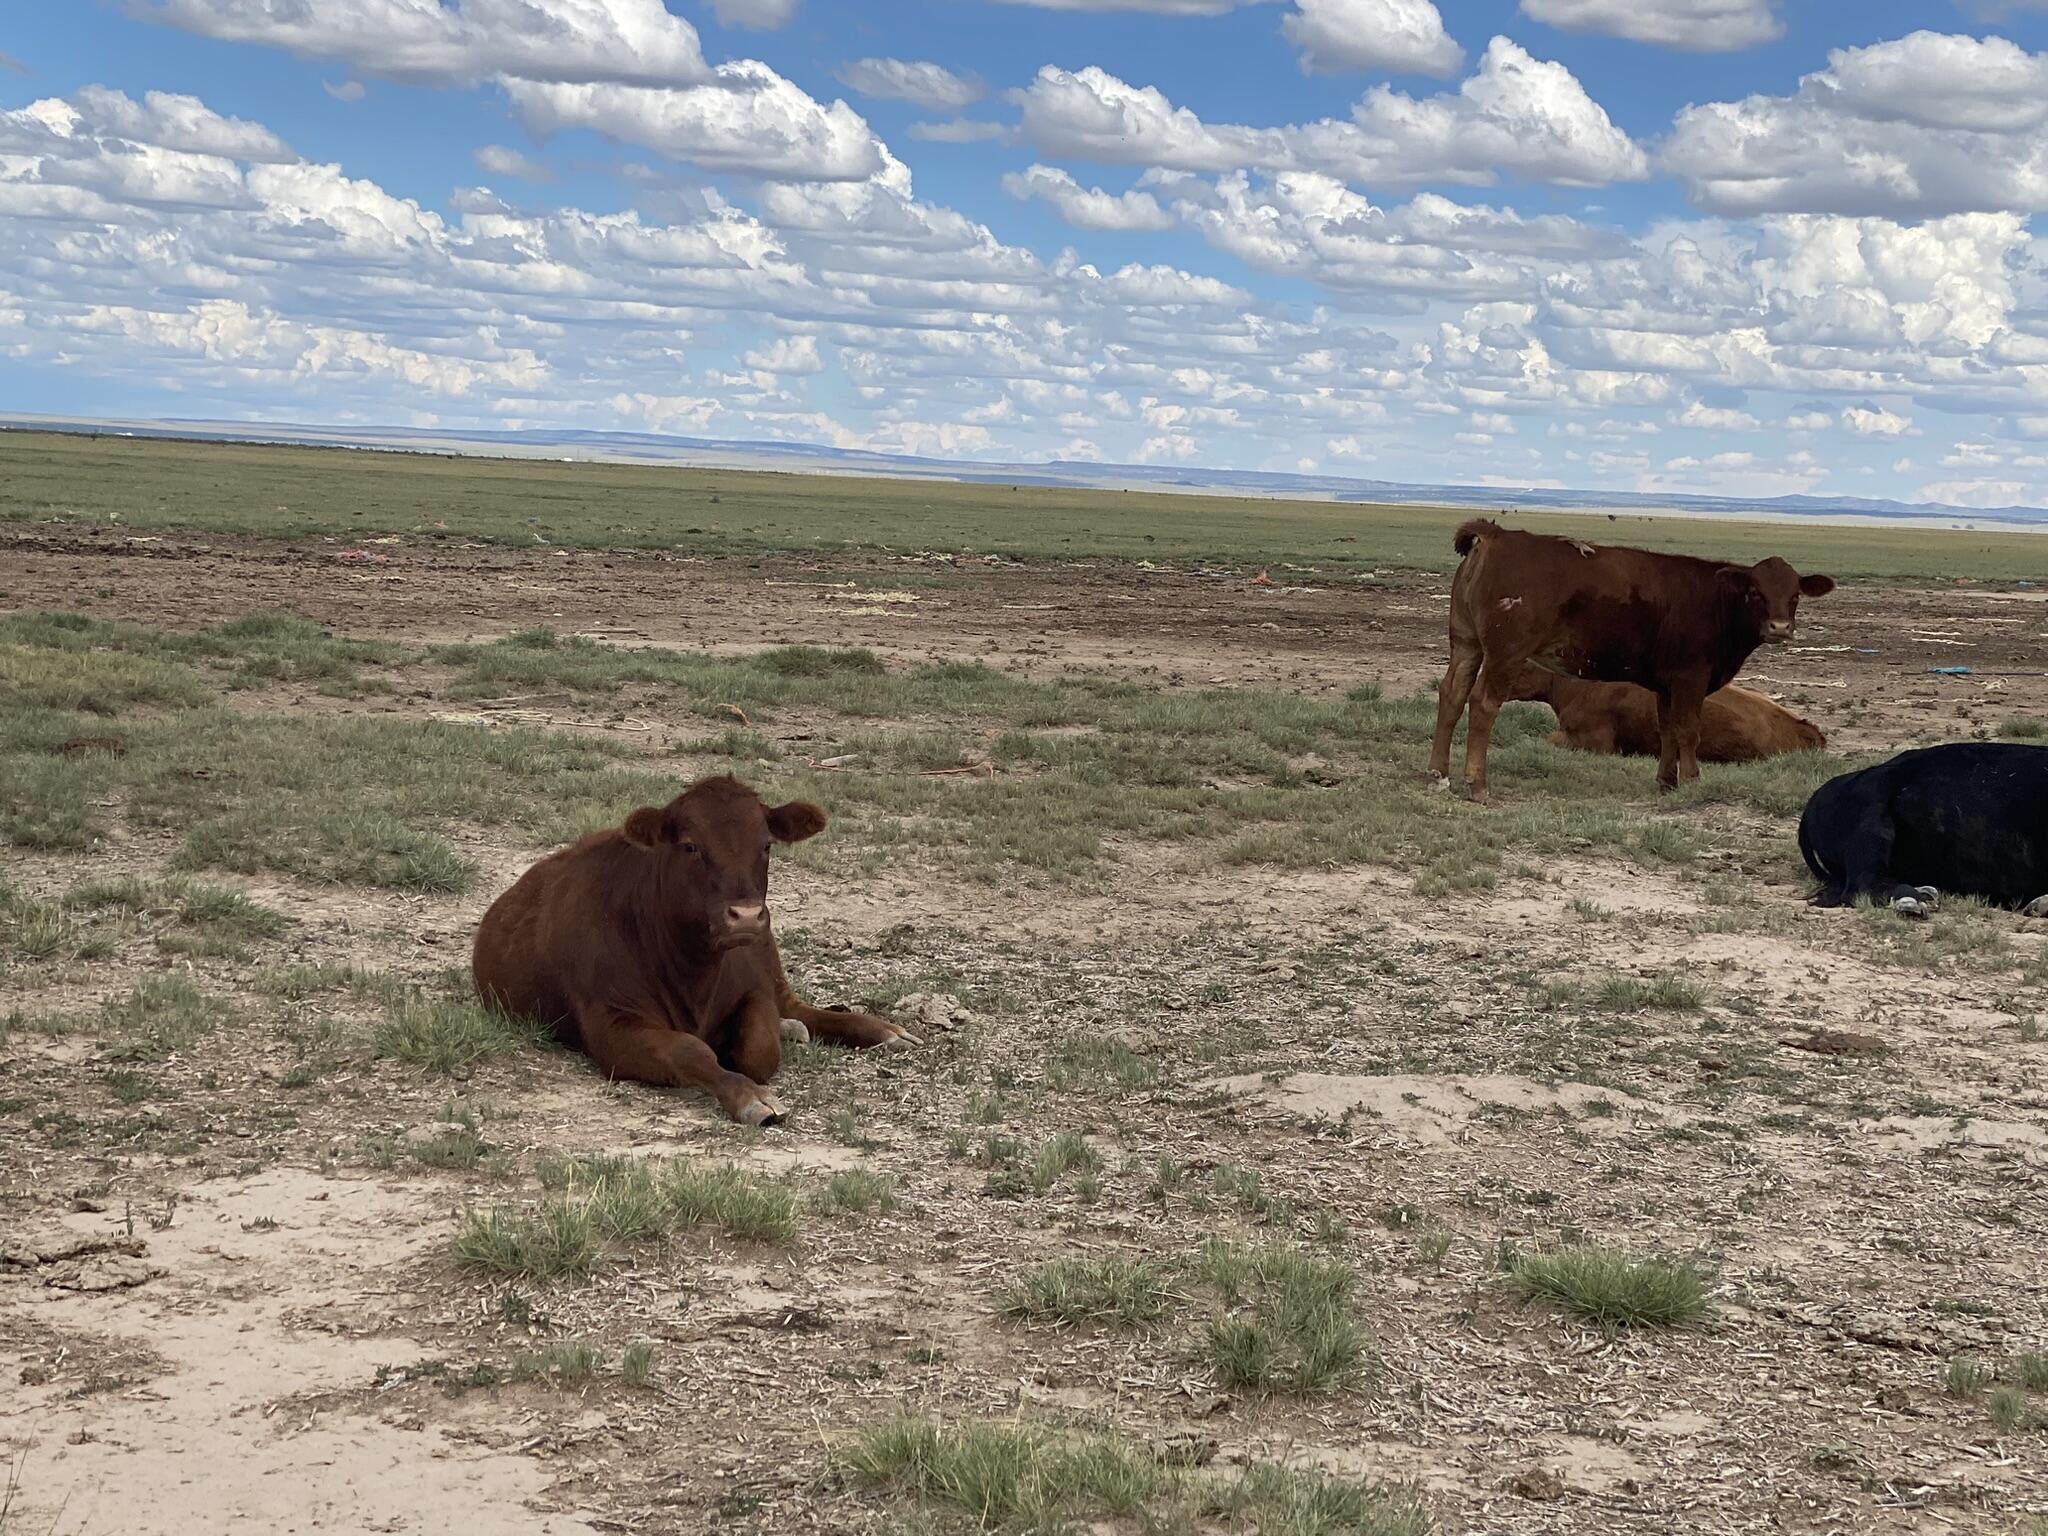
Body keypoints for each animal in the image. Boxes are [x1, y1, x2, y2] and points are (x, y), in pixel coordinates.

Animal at [475, 782, 909, 1130]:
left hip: (768, 960)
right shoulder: (609, 1024)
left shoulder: (753, 988)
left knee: (799, 1008)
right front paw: (750, 1095)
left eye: (766, 844)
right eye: (690, 846)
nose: (746, 915)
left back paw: (880, 1030)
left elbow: (759, 1047)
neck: (693, 972)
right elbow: (690, 1050)